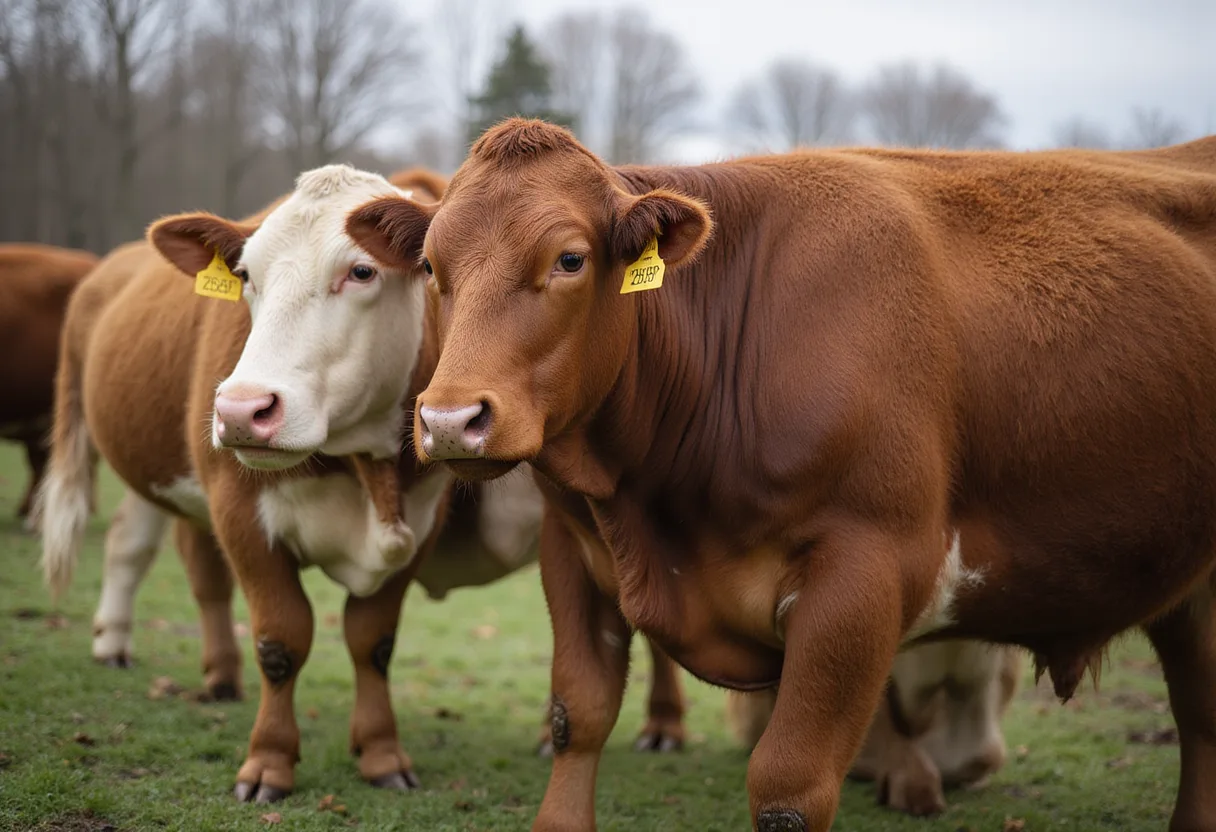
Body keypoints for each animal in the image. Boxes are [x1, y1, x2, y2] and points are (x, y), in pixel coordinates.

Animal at [38, 164, 689, 803]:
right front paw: (269, 763)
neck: (357, 458)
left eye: (360, 271)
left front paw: (378, 754)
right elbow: (280, 639)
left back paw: (662, 724)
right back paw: (123, 647)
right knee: (137, 547)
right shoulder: (236, 506)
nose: (242, 410)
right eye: (246, 275)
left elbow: (371, 639)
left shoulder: (421, 517)